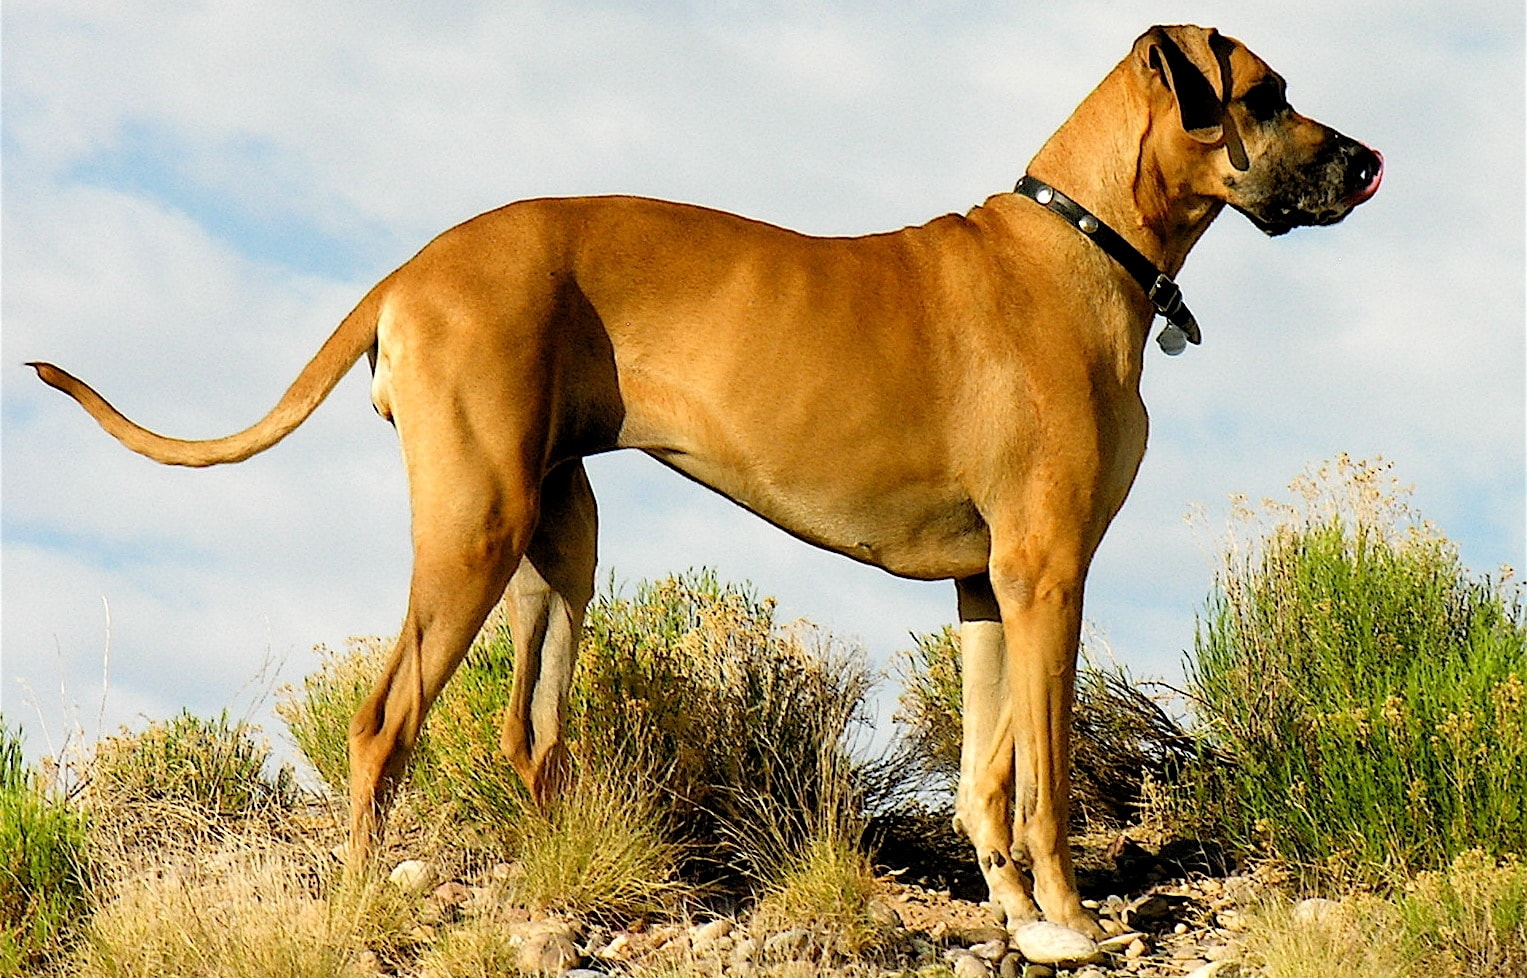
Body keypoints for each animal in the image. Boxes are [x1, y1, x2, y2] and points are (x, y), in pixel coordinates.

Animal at [29, 26, 1386, 935]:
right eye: (1268, 96)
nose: (1372, 162)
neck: (1086, 239)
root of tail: (409, 269)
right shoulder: (1047, 572)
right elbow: (1047, 779)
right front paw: (1072, 918)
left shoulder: (989, 592)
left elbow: (988, 775)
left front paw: (1014, 912)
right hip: (471, 529)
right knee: (383, 725)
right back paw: (365, 907)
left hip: (557, 540)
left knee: (532, 734)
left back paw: (573, 883)